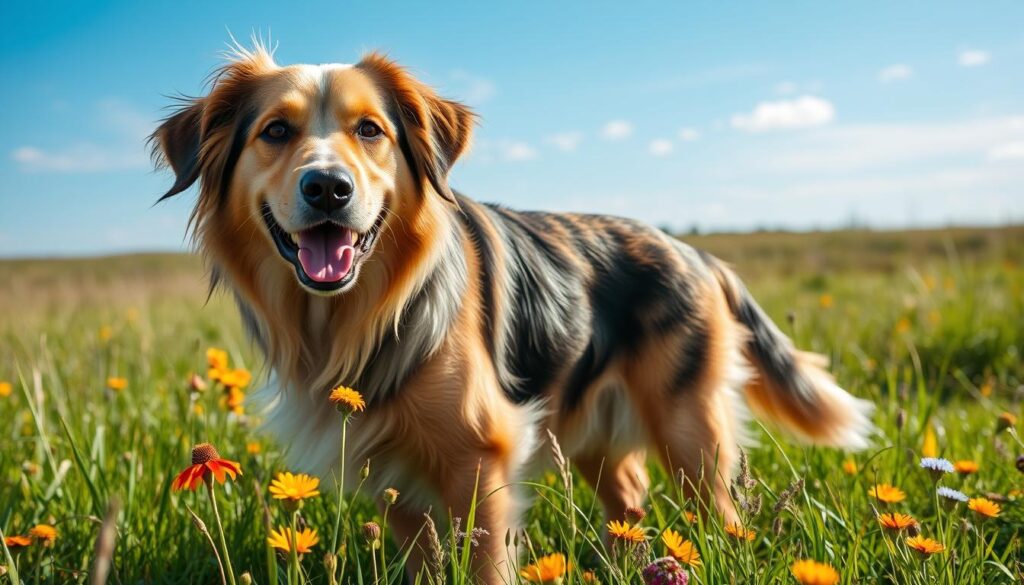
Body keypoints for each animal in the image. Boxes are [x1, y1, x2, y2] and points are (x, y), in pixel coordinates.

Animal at [151, 43, 872, 581]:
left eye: (370, 130)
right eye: (275, 131)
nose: (328, 187)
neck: (357, 317)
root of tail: (696, 252)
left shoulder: (482, 458)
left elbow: (485, 564)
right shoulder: (393, 475)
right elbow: (424, 561)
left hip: (693, 433)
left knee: (722, 518)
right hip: (599, 438)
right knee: (629, 504)